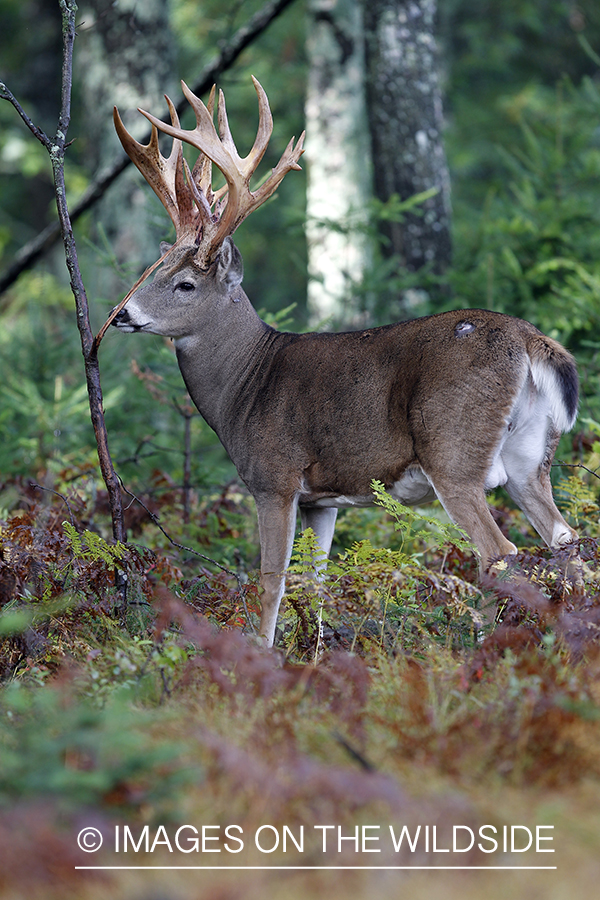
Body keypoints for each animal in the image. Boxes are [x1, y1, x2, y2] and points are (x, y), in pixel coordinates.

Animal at [110, 74, 580, 644]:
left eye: (184, 283)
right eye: (155, 268)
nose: (122, 313)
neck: (245, 385)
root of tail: (529, 341)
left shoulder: (274, 477)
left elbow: (272, 583)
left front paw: (262, 657)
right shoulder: (323, 500)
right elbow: (314, 583)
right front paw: (312, 655)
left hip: (454, 449)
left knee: (501, 552)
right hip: (530, 455)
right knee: (566, 539)